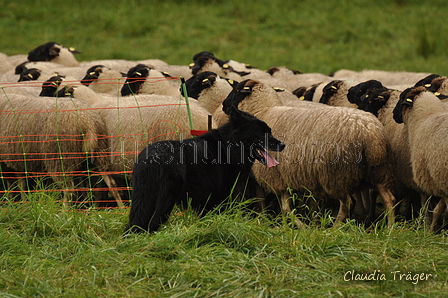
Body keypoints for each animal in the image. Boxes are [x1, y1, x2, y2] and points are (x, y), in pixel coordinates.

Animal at [0, 77, 122, 206]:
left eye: (47, 88)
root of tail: (88, 121)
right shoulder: (16, 157)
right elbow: (21, 182)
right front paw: (22, 202)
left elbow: (13, 183)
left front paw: (13, 202)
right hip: (100, 150)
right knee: (111, 182)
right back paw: (121, 207)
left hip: (59, 156)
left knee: (68, 188)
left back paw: (64, 209)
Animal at [222, 79, 398, 228]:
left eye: (236, 90)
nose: (224, 106)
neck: (263, 111)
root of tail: (370, 133)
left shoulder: (276, 175)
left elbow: (285, 208)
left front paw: (300, 226)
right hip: (379, 169)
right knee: (389, 199)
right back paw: (390, 229)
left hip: (337, 174)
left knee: (348, 203)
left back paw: (334, 229)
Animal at [392, 86, 448, 230]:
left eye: (401, 98)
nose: (393, 114)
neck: (425, 117)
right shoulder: (439, 182)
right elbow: (438, 209)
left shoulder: (427, 180)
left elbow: (429, 209)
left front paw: (428, 230)